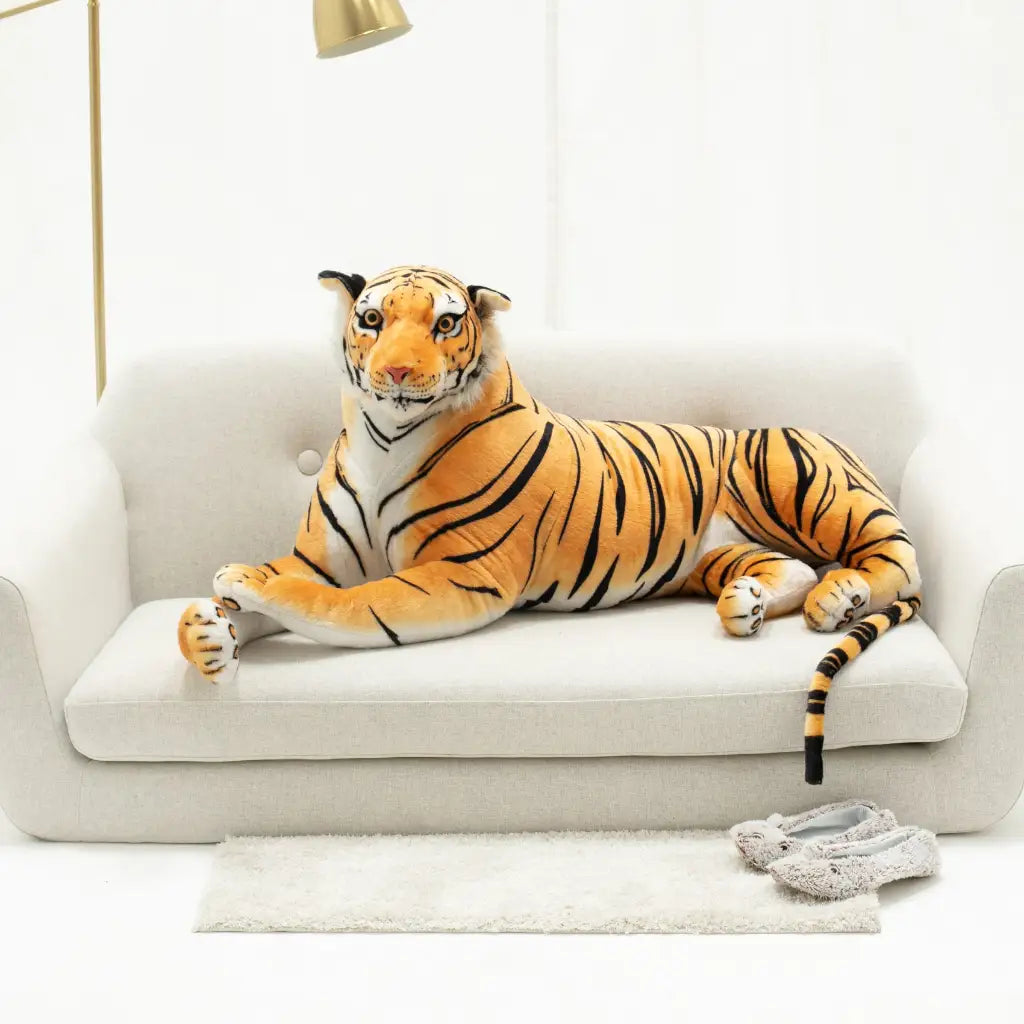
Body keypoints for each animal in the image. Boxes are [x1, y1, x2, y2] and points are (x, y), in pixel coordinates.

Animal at [177, 265, 922, 784]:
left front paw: (239, 583)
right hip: (719, 554)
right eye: (370, 318)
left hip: (792, 473)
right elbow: (262, 595)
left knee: (899, 562)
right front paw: (210, 636)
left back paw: (839, 598)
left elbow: (342, 602)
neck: (382, 435)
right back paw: (751, 605)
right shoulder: (320, 557)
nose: (397, 372)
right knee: (788, 567)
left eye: (445, 324)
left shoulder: (462, 574)